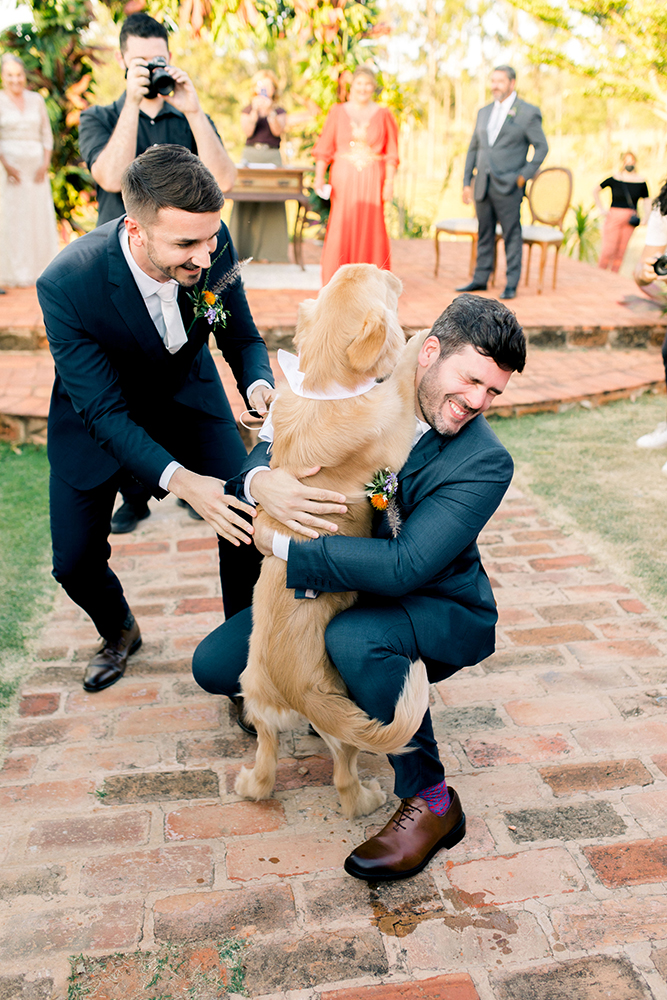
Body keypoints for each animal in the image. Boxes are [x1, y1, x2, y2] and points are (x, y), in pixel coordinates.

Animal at [237, 262, 430, 816]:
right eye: (383, 282)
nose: (391, 269)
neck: (327, 386)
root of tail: (294, 694)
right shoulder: (395, 420)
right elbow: (403, 371)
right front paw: (422, 336)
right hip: (343, 726)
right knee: (344, 779)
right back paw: (366, 798)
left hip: (255, 705)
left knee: (266, 768)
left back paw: (250, 783)